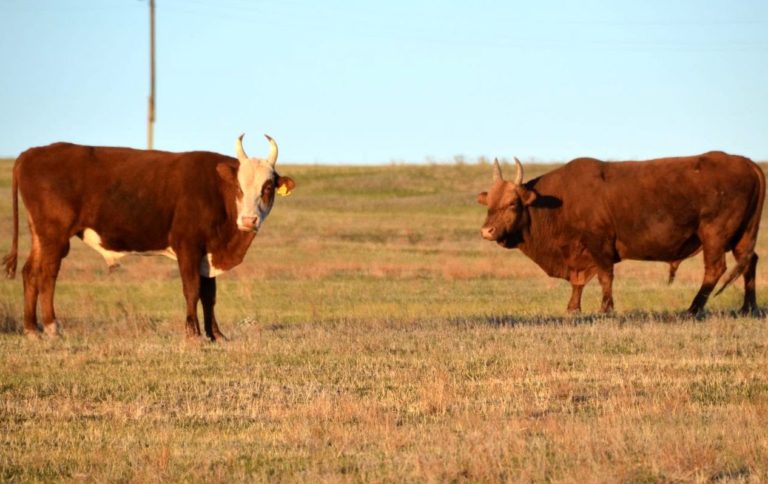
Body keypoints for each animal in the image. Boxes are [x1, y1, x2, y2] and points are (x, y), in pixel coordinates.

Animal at [1, 134, 296, 338]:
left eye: (267, 187)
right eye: (238, 187)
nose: (248, 220)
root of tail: (32, 153)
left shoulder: (207, 252)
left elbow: (209, 295)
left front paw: (216, 335)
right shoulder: (187, 246)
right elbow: (192, 290)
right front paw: (194, 334)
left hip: (39, 233)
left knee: (30, 272)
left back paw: (32, 329)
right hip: (55, 235)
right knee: (47, 274)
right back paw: (51, 326)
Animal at [476, 153, 764, 316]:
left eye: (512, 203)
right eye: (489, 202)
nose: (486, 231)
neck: (560, 200)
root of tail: (747, 163)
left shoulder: (599, 245)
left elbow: (605, 277)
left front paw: (605, 308)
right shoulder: (579, 254)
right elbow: (578, 283)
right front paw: (573, 308)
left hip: (714, 235)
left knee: (715, 269)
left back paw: (693, 308)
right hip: (743, 236)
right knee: (749, 262)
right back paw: (748, 307)